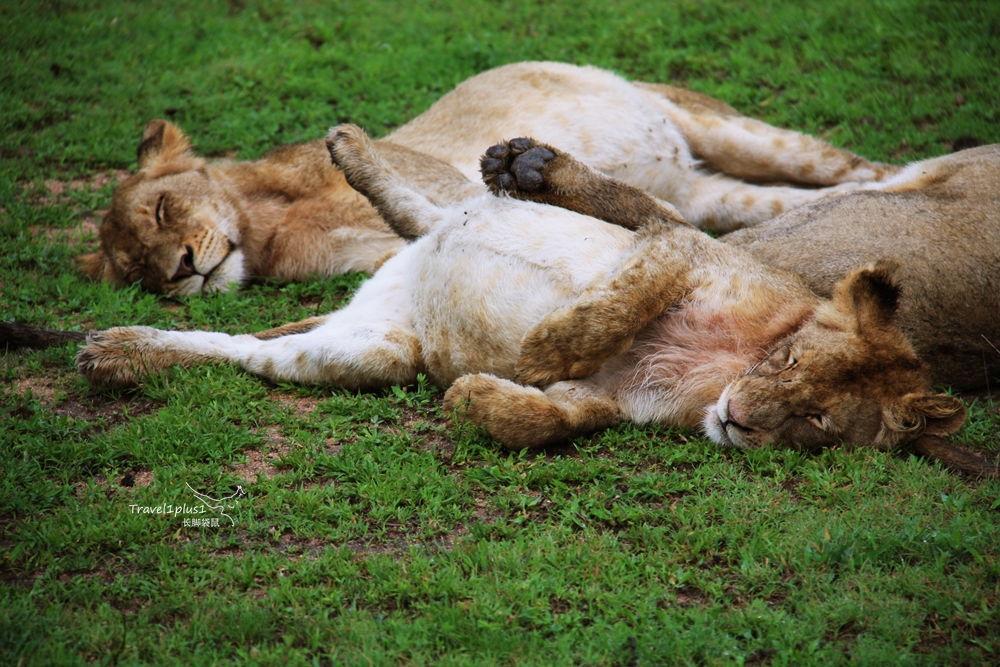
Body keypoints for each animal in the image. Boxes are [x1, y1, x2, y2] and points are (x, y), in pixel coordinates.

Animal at [78, 60, 896, 294]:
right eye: (135, 272)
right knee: (782, 203)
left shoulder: (455, 187)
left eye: (162, 210)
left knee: (864, 167)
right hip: (719, 194)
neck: (267, 226)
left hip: (731, 132)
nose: (180, 271)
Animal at [78, 126, 992, 480]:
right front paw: (543, 345)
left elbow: (546, 420)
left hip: (368, 352)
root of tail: (399, 280)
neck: (730, 366)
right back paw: (353, 148)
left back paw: (119, 352)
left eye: (817, 422)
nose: (739, 419)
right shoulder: (679, 246)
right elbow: (621, 302)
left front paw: (478, 394)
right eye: (792, 360)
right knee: (427, 205)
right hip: (473, 223)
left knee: (246, 350)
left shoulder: (612, 403)